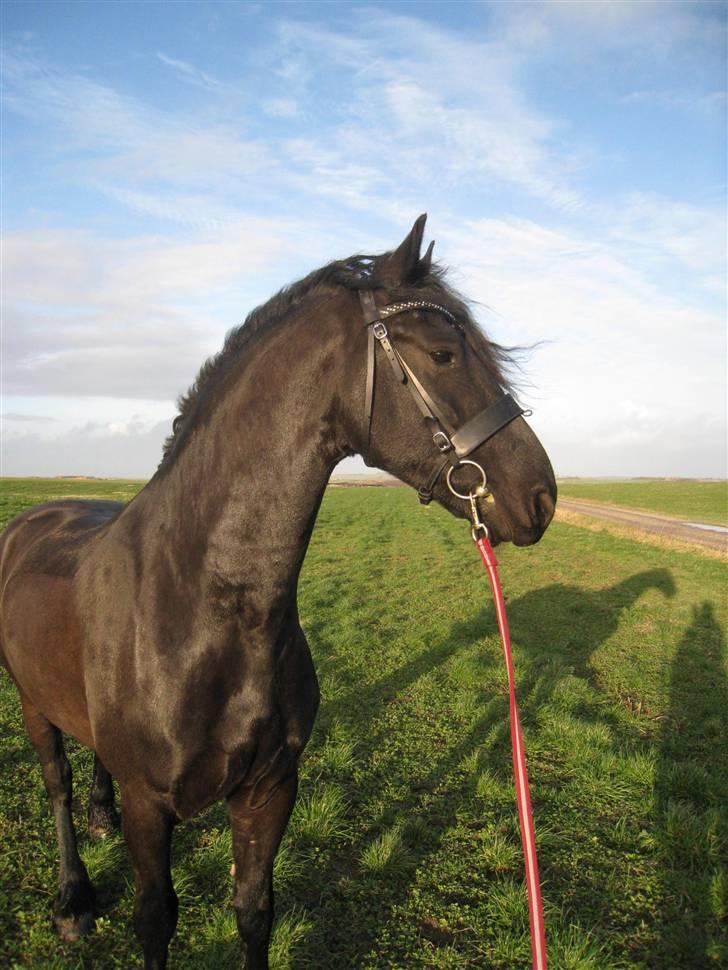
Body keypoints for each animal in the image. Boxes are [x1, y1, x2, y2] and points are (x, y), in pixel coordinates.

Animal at [1, 216, 556, 964]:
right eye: (443, 353)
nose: (542, 496)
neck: (202, 607)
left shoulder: (270, 790)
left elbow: (254, 911)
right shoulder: (151, 804)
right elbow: (155, 917)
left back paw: (98, 817)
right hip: (31, 703)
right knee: (56, 783)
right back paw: (71, 900)